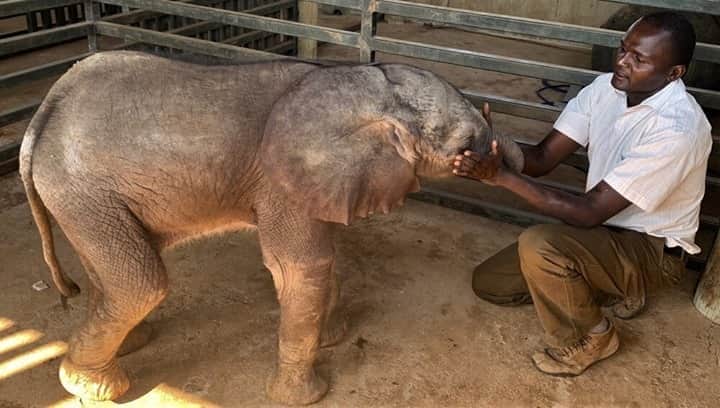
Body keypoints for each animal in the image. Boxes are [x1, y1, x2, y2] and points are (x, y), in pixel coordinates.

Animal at [19, 50, 523, 405]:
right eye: (466, 145)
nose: (504, 165)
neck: (358, 80)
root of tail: (43, 112)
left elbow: (319, 262)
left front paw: (333, 336)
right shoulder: (281, 179)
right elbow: (302, 266)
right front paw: (306, 397)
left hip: (88, 199)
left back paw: (127, 347)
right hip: (83, 190)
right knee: (141, 283)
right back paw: (94, 388)